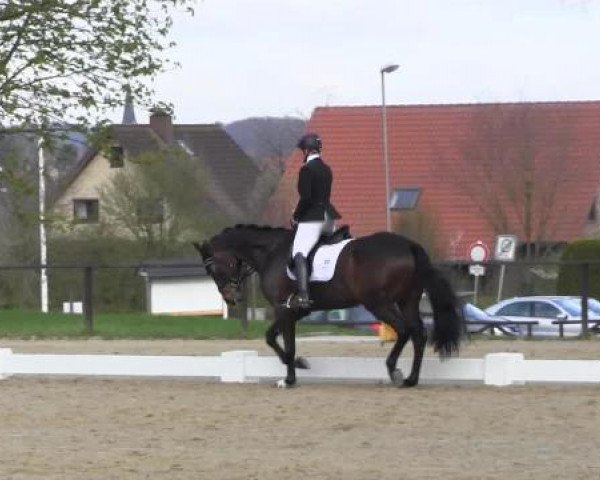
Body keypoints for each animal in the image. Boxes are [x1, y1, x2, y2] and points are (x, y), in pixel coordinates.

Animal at [193, 227, 464, 388]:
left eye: (213, 269)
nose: (231, 299)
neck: (270, 253)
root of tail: (408, 245)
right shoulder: (296, 310)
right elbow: (276, 339)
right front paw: (296, 368)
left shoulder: (285, 309)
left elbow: (280, 342)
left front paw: (290, 376)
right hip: (407, 301)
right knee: (419, 333)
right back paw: (411, 379)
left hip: (378, 302)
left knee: (405, 330)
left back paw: (394, 371)